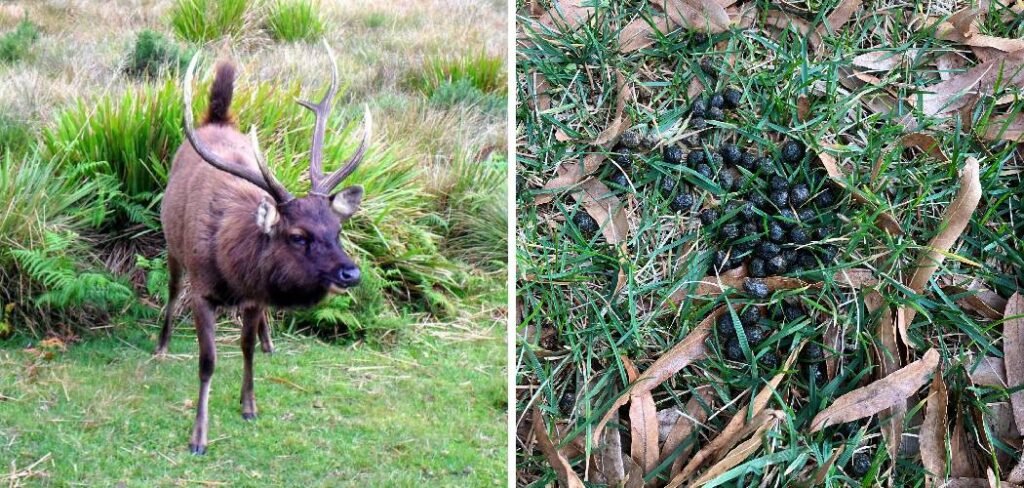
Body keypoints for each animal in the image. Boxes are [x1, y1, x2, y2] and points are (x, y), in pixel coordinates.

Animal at [155, 44, 370, 455]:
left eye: (338, 230)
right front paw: (198, 437)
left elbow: (246, 348)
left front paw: (249, 406)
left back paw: (269, 341)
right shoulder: (201, 290)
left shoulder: (255, 296)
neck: (230, 267)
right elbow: (208, 361)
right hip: (171, 242)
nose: (350, 272)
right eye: (298, 236)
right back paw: (161, 344)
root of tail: (217, 120)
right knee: (172, 290)